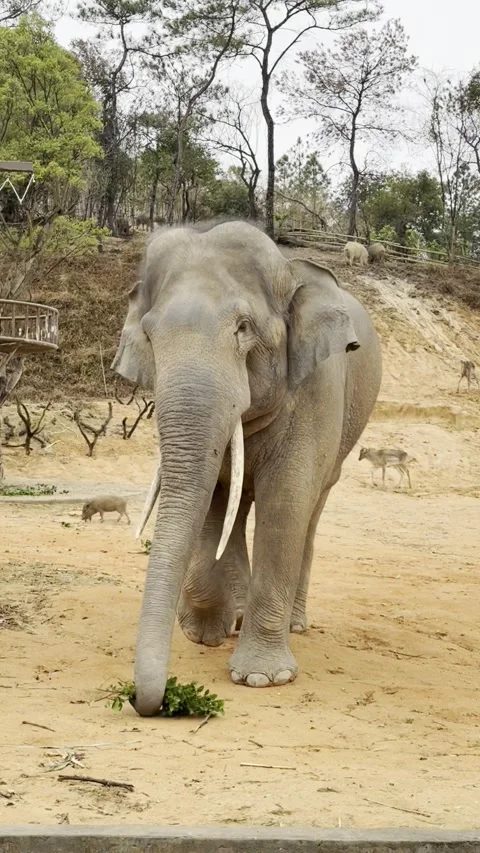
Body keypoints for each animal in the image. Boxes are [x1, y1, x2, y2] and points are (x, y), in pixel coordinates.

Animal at [112, 220, 382, 717]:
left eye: (244, 328)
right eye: (150, 336)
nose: (142, 702)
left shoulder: (317, 388)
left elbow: (287, 502)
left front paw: (262, 678)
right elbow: (211, 499)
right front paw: (203, 634)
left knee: (311, 512)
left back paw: (294, 625)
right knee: (236, 509)